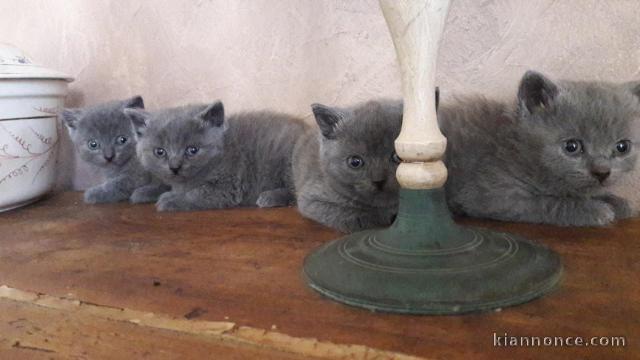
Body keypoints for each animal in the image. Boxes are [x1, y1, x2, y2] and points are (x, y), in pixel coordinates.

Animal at [125, 100, 308, 211]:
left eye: (192, 150)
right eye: (160, 152)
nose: (174, 166)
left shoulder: (228, 186)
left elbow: (197, 193)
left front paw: (170, 200)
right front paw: (145, 192)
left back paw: (270, 197)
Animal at [292, 98, 402, 233]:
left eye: (397, 156)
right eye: (355, 162)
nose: (378, 180)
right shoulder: (310, 200)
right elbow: (352, 215)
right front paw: (382, 216)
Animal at [440, 70, 640, 226]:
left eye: (622, 147)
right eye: (572, 146)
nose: (602, 172)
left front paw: (617, 202)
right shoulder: (493, 195)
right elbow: (548, 203)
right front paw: (595, 210)